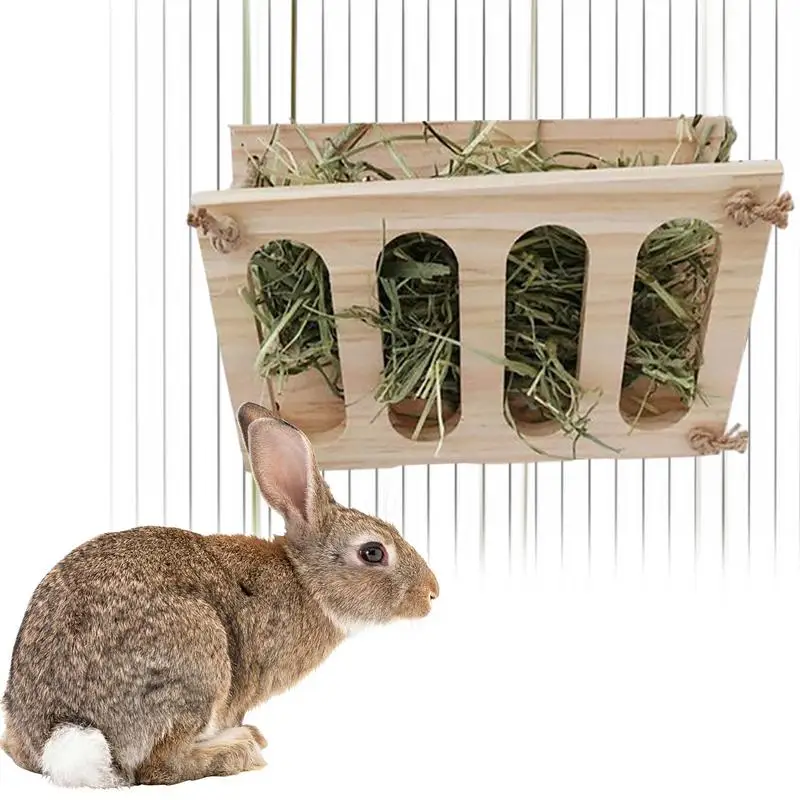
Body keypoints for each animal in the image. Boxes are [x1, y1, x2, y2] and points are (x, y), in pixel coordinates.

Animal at [0, 401, 439, 788]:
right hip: (199, 661)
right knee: (158, 767)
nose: (432, 592)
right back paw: (238, 749)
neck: (303, 579)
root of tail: (63, 731)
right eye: (373, 552)